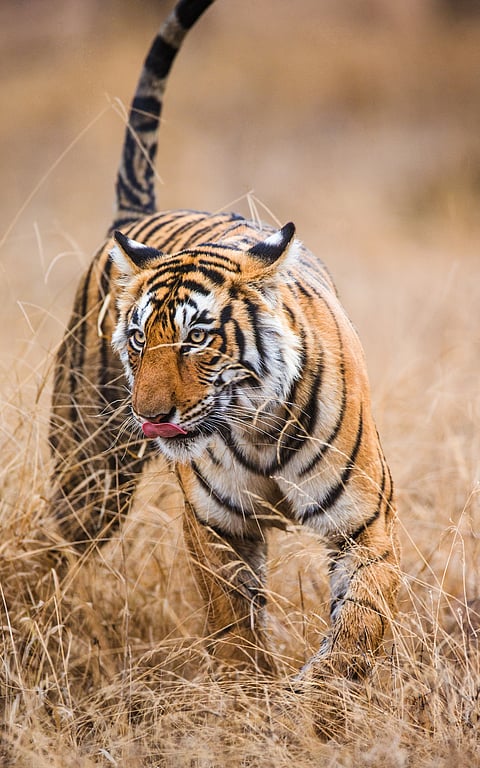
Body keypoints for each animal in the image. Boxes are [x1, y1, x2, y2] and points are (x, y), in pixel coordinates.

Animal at [49, 0, 400, 681]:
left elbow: (358, 625)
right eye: (138, 340)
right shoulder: (215, 527)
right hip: (86, 469)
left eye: (196, 339)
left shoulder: (366, 523)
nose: (150, 415)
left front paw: (318, 698)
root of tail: (137, 221)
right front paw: (249, 693)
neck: (258, 429)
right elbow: (235, 629)